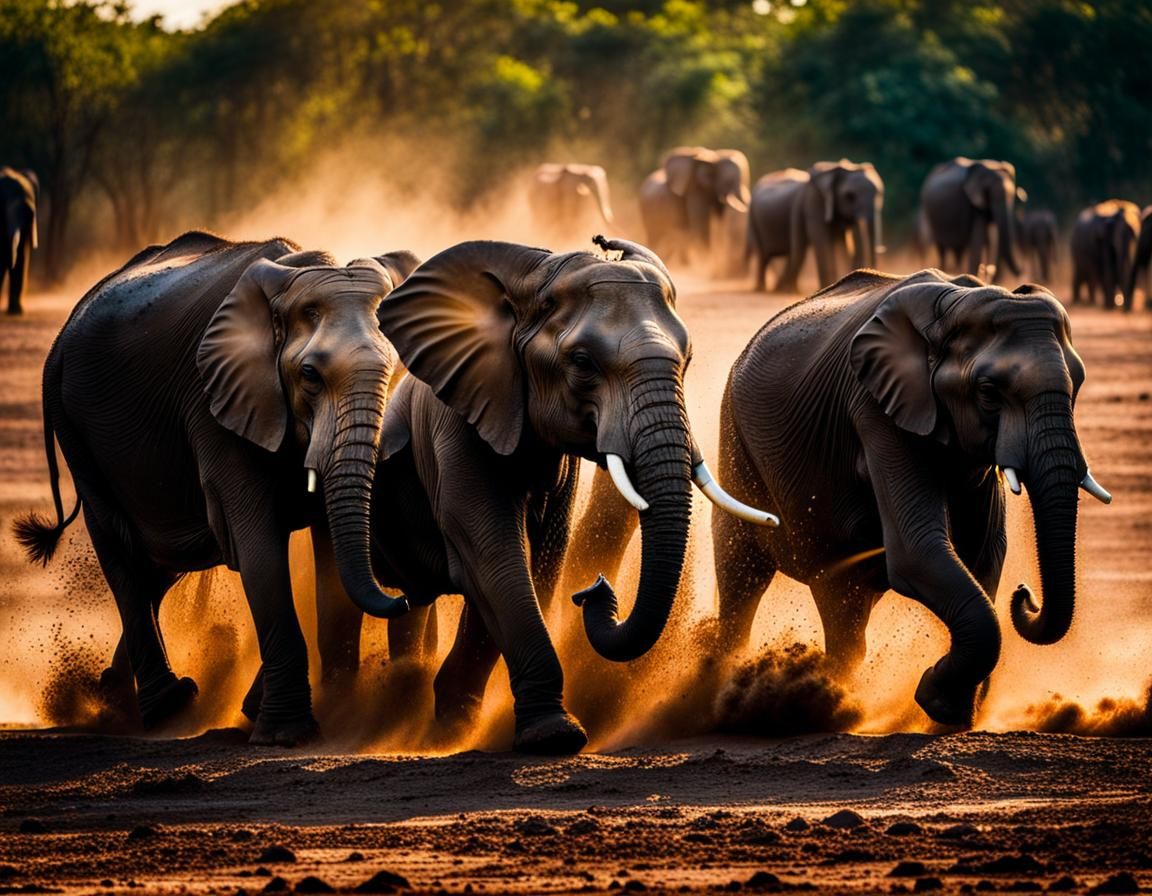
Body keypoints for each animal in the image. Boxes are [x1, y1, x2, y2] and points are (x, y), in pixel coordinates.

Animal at [14, 231, 418, 744]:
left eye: (398, 372)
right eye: (309, 375)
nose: (402, 598)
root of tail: (62, 336)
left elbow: (328, 553)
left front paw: (307, 712)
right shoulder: (214, 406)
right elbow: (257, 547)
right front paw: (284, 733)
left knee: (160, 565)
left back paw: (112, 697)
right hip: (75, 428)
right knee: (122, 550)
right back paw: (166, 708)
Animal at [310, 236, 774, 754]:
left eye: (687, 359)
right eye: (583, 363)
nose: (594, 589)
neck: (527, 284)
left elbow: (536, 566)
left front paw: (456, 719)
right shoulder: (456, 429)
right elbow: (494, 557)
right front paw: (553, 736)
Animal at [711, 268, 1110, 727]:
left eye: (1077, 384)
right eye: (988, 391)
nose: (1025, 595)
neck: (954, 307)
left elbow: (983, 554)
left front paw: (952, 711)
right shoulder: (876, 410)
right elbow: (916, 554)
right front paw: (936, 701)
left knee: (846, 600)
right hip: (734, 440)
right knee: (751, 577)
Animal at [748, 160, 884, 293]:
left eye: (879, 194)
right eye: (850, 196)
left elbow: (841, 246)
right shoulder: (813, 202)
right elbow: (822, 242)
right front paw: (826, 287)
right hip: (753, 217)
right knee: (765, 254)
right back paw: (765, 289)